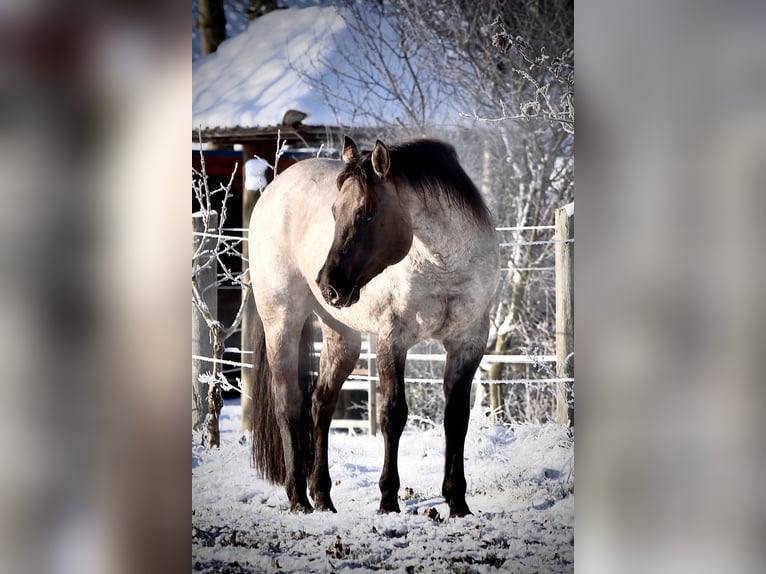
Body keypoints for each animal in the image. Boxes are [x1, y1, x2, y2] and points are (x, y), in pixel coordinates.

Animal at [248, 136, 500, 517]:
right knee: (289, 404)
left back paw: (323, 499)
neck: (444, 265)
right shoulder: (392, 339)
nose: (328, 285)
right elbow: (392, 414)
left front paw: (458, 504)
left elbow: (456, 418)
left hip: (342, 335)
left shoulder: (468, 342)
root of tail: (273, 190)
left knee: (321, 403)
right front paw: (388, 501)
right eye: (334, 212)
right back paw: (299, 500)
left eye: (366, 213)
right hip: (282, 322)